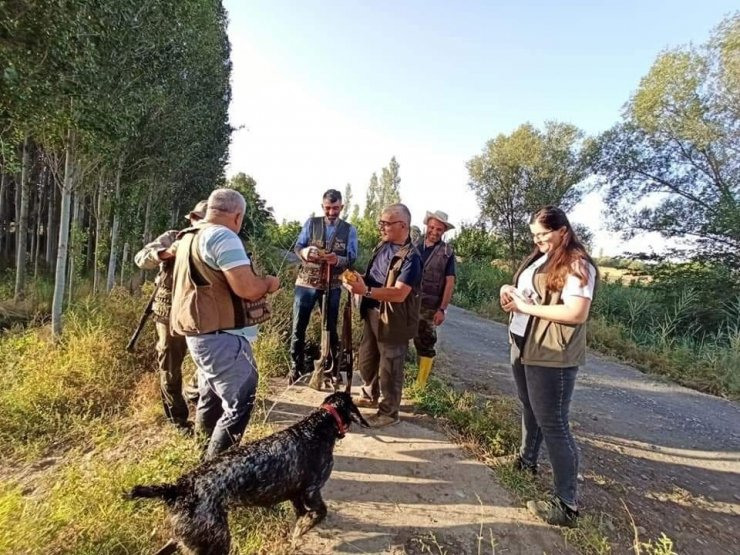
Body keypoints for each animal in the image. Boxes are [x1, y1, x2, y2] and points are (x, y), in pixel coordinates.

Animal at [129, 390, 370, 555]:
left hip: (185, 537)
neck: (316, 426)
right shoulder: (312, 490)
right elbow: (319, 513)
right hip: (216, 541)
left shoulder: (296, 493)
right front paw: (303, 529)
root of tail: (179, 488)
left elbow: (300, 513)